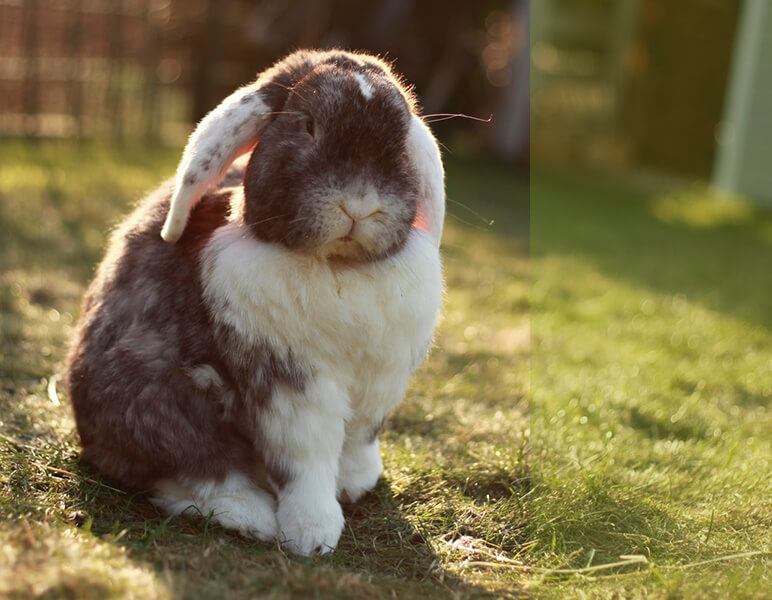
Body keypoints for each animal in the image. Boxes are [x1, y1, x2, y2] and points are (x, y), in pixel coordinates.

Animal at [66, 49, 446, 556]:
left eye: (401, 137)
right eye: (308, 125)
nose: (360, 205)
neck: (338, 268)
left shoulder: (378, 381)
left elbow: (357, 441)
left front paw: (356, 484)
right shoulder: (288, 382)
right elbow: (306, 460)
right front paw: (313, 535)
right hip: (153, 400)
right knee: (193, 473)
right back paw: (253, 516)